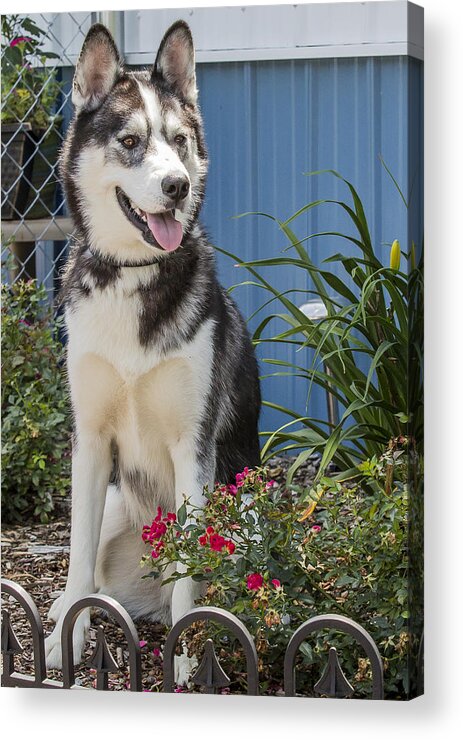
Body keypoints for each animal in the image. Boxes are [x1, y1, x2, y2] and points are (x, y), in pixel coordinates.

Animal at [45, 23, 262, 684]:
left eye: (179, 140)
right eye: (131, 141)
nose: (177, 186)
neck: (133, 278)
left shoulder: (194, 448)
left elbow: (194, 573)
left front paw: (189, 657)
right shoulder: (90, 443)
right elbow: (77, 555)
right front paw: (64, 639)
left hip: (245, 514)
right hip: (118, 502)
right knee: (95, 570)